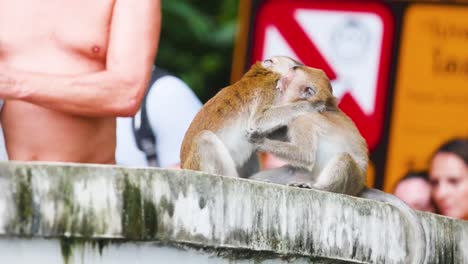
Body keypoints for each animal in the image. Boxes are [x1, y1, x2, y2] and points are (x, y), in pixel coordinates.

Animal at [177, 56, 324, 178]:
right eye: (295, 68)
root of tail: (183, 165)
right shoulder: (269, 89)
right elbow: (258, 120)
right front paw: (310, 105)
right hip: (195, 165)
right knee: (204, 138)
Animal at [247, 65, 426, 264]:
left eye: (292, 72)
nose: (280, 79)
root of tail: (360, 186)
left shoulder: (303, 121)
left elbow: (304, 154)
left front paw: (260, 140)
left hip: (349, 181)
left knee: (343, 159)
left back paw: (318, 187)